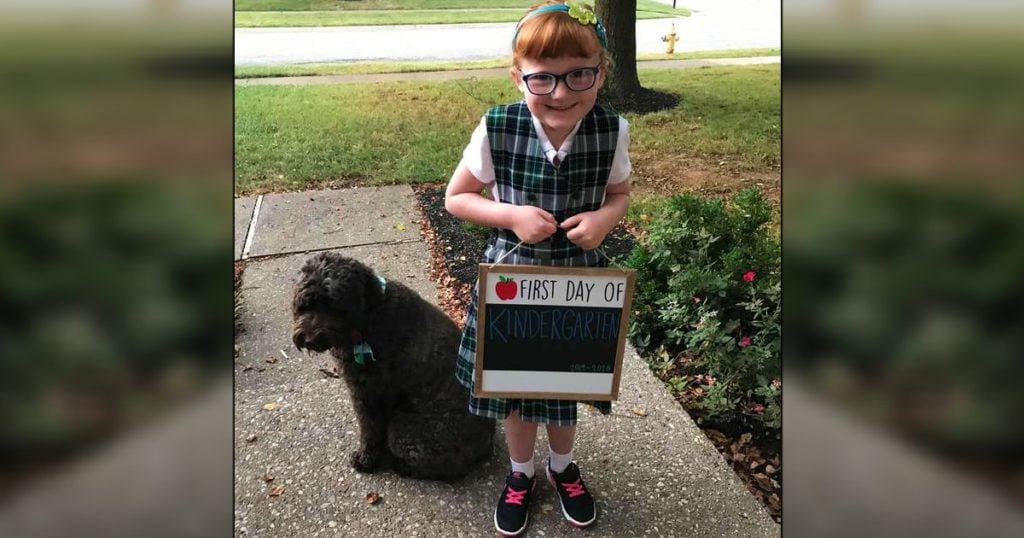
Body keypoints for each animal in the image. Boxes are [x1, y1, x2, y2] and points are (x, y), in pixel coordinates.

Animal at [290, 254, 493, 479]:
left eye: (335, 305)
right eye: (307, 304)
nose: (308, 338)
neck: (370, 314)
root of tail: (487, 444)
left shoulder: (368, 394)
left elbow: (370, 431)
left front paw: (366, 459)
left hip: (404, 429)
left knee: (449, 468)